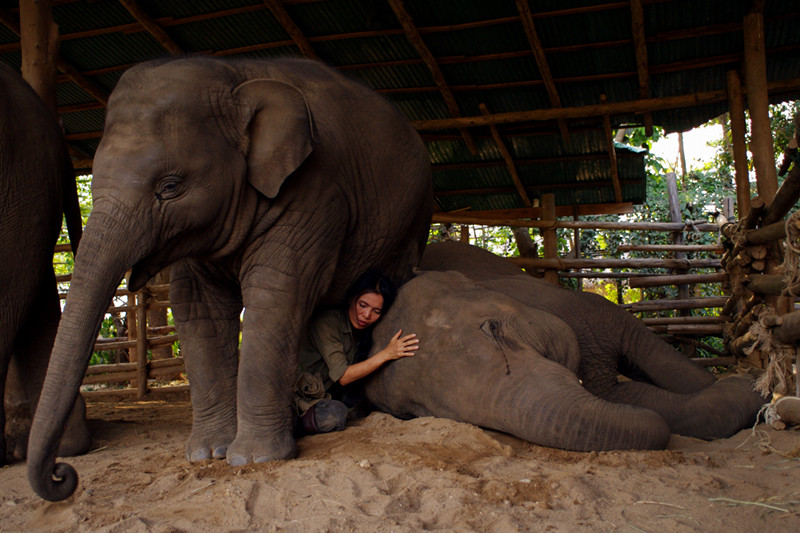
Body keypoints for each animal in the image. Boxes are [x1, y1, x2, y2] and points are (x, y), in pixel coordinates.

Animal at [26, 56, 432, 500]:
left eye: (170, 186)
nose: (63, 474)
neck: (235, 75)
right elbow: (196, 306)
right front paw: (208, 454)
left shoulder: (315, 194)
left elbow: (275, 295)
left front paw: (254, 459)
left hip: (414, 219)